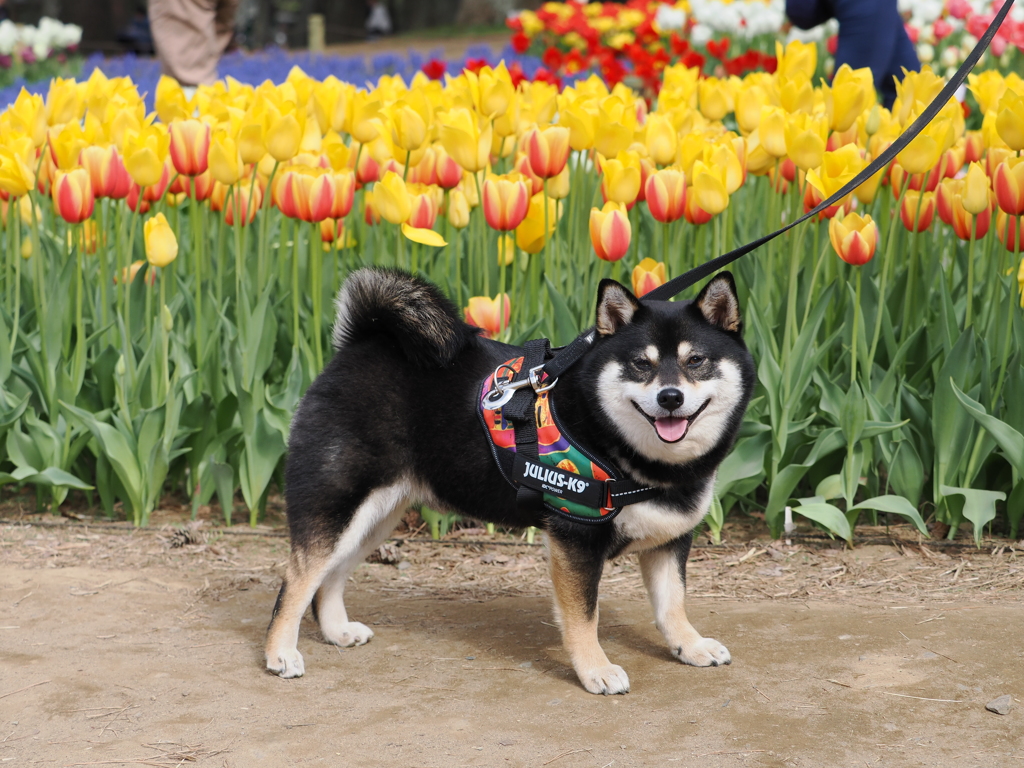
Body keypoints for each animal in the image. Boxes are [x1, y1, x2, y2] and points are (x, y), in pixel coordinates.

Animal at [264, 270, 757, 696]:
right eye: (640, 364)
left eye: (696, 360)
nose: (670, 397)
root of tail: (360, 345)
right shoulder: (575, 538)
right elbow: (584, 617)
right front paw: (595, 669)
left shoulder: (670, 539)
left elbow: (672, 604)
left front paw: (690, 645)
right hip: (337, 508)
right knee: (297, 580)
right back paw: (279, 654)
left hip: (374, 519)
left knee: (329, 578)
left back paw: (336, 632)